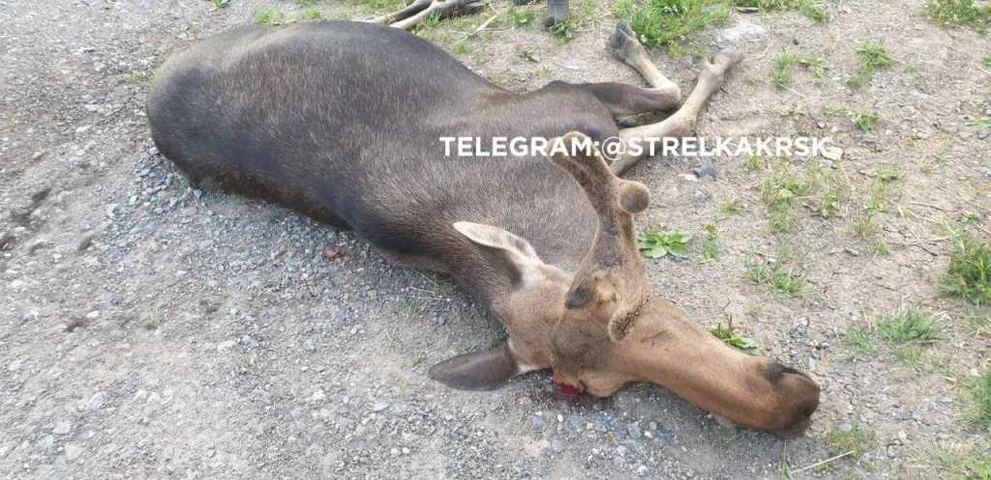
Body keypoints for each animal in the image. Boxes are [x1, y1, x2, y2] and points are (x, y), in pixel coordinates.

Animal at [146, 19, 820, 438]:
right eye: (594, 390)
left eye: (630, 300)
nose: (794, 406)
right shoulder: (569, 102)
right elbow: (678, 101)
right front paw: (715, 57)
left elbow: (671, 103)